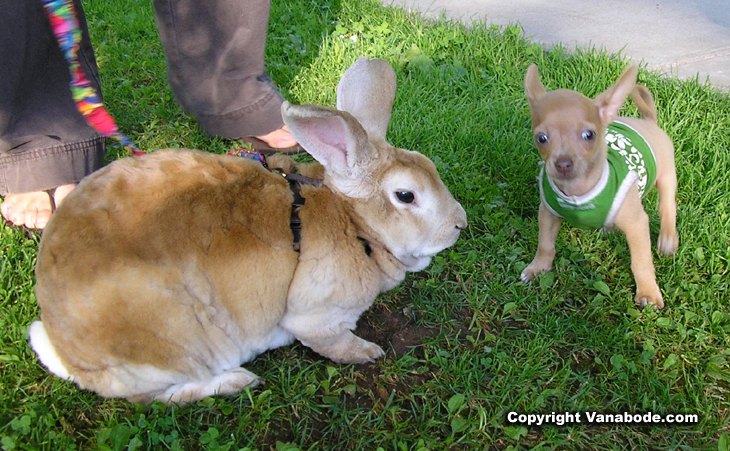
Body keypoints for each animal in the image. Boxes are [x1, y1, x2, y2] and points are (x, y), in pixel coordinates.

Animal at [28, 57, 464, 406]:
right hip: (177, 343)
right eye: (406, 195)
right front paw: (367, 352)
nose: (459, 224)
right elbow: (332, 342)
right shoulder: (313, 315)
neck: (355, 223)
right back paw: (236, 381)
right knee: (158, 396)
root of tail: (72, 356)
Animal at [516, 63, 676, 308]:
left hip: (667, 177)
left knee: (667, 207)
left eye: (589, 135)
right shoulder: (548, 214)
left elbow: (641, 262)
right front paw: (538, 268)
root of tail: (647, 121)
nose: (563, 163)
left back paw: (668, 238)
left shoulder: (637, 224)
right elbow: (545, 245)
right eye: (541, 138)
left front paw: (648, 292)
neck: (577, 191)